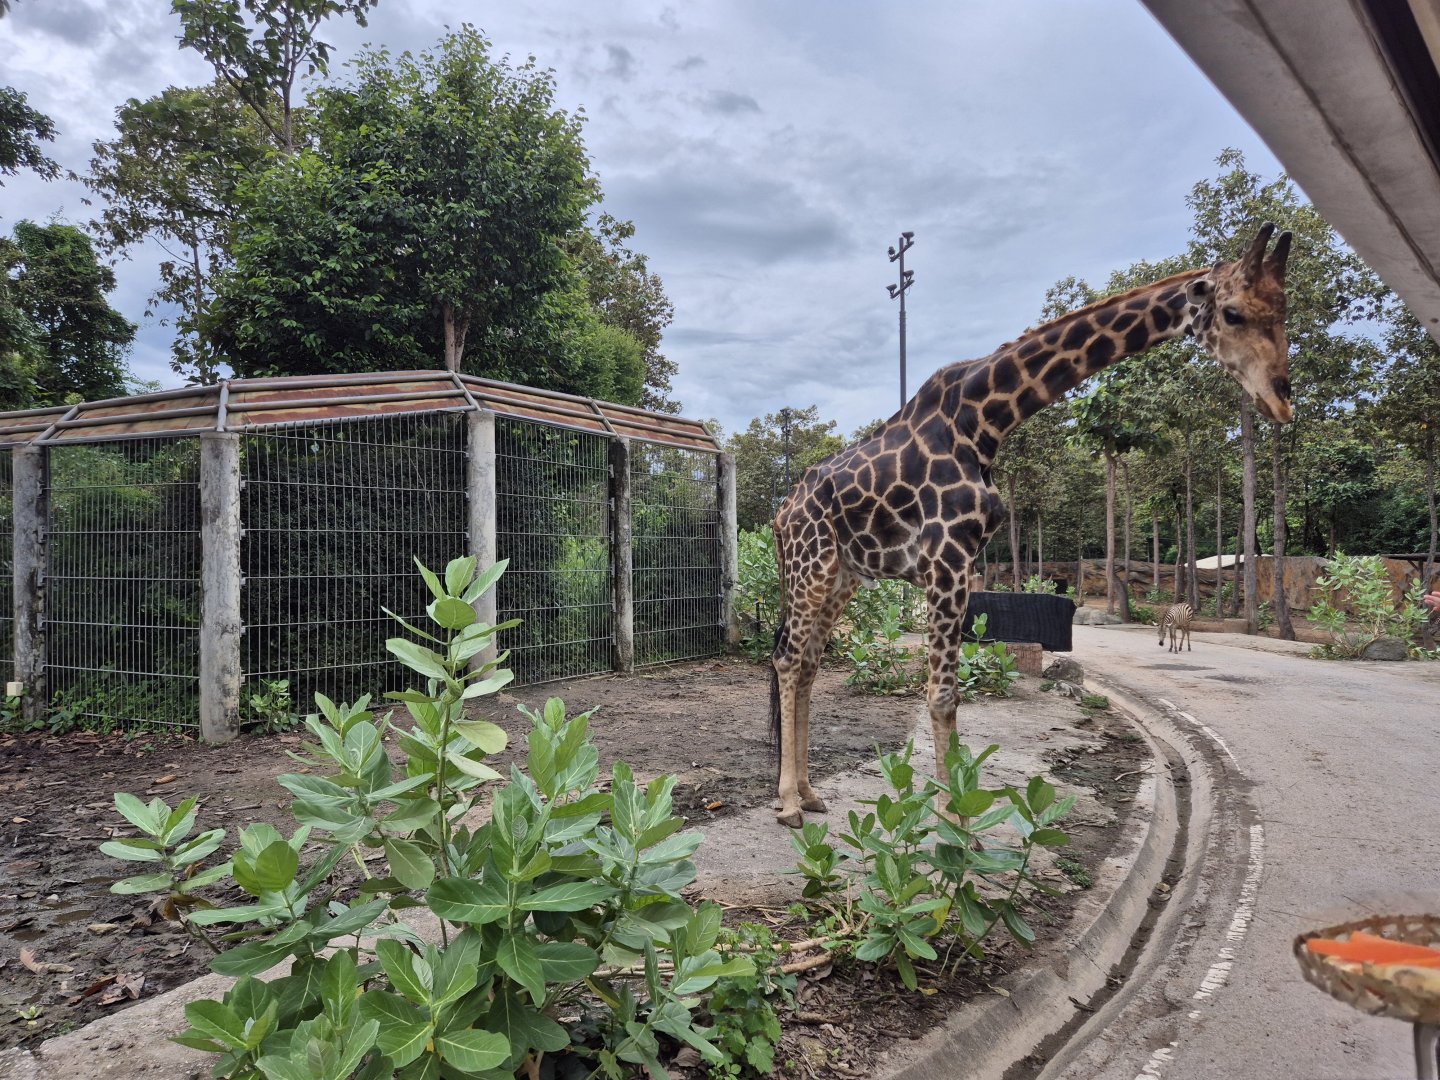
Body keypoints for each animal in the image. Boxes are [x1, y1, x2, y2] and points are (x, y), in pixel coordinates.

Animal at [769, 223, 1292, 828]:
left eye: (1283, 309)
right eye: (1232, 313)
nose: (1281, 399)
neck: (985, 421)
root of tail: (781, 515)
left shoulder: (964, 564)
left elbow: (949, 692)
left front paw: (957, 819)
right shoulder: (946, 559)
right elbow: (942, 694)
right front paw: (954, 824)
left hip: (841, 575)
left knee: (808, 663)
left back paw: (810, 793)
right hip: (811, 566)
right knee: (788, 658)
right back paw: (787, 803)